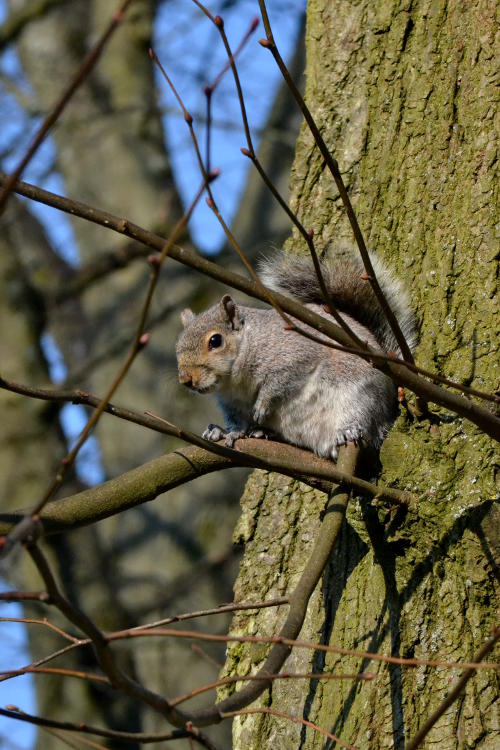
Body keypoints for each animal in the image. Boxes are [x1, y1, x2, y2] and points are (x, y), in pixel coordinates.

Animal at [174, 253, 416, 462]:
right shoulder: (232, 403)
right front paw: (226, 432)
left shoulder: (295, 355)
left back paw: (347, 431)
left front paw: (263, 404)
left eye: (215, 341)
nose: (186, 380)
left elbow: (281, 381)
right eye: (177, 345)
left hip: (364, 398)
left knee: (368, 425)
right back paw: (264, 432)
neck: (235, 381)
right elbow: (238, 422)